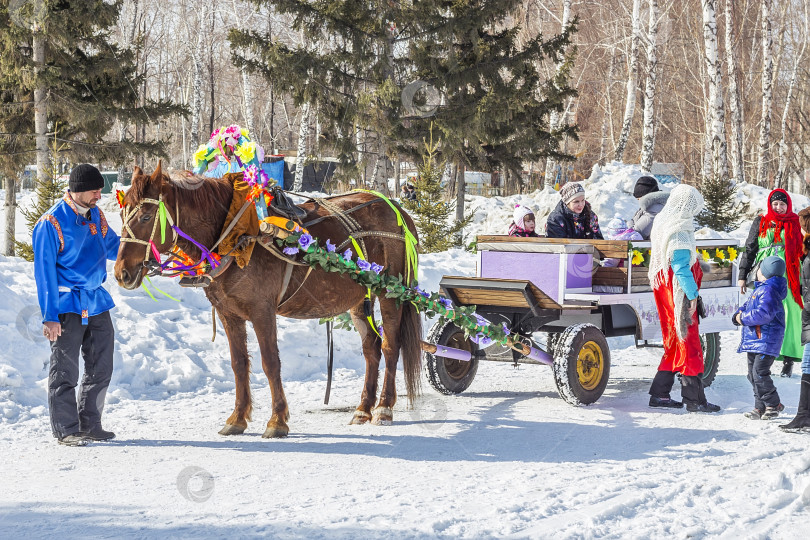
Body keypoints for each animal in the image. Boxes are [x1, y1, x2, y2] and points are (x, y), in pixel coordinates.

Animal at [115, 162, 422, 436]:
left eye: (145, 217)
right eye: (122, 215)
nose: (121, 273)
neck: (235, 235)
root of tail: (398, 210)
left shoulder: (262, 311)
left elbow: (270, 363)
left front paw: (277, 420)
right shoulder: (229, 313)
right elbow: (239, 364)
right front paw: (238, 418)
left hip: (390, 293)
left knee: (390, 346)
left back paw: (383, 408)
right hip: (360, 298)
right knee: (371, 348)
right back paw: (363, 408)